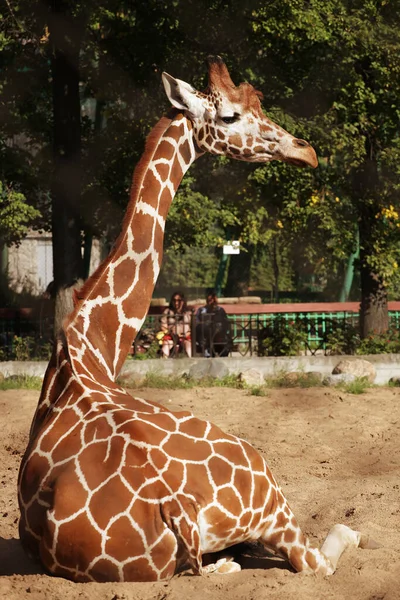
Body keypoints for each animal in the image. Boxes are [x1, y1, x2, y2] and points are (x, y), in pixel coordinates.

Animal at [18, 56, 376, 580]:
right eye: (230, 115)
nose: (306, 152)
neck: (89, 344)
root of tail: (175, 511)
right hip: (266, 482)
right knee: (317, 558)